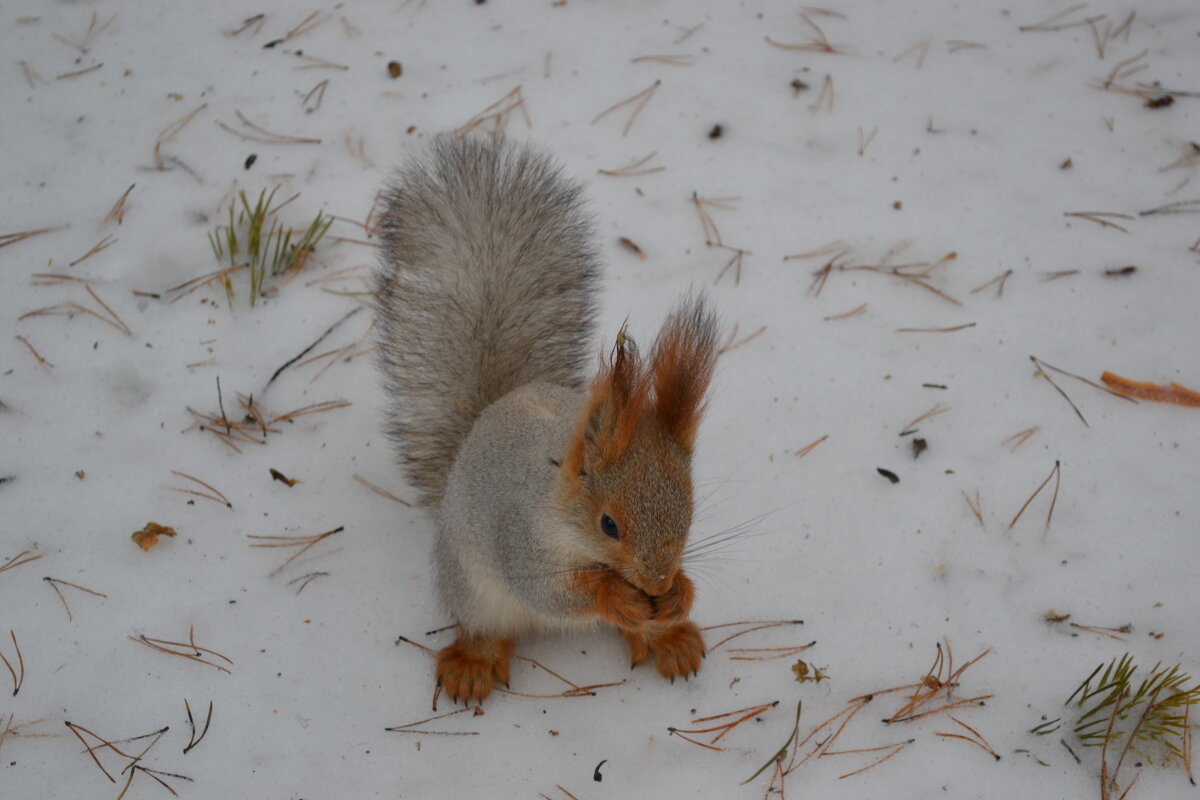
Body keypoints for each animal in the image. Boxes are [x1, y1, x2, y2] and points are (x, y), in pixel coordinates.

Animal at [374, 139, 715, 705]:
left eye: (689, 512)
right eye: (608, 524)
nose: (656, 583)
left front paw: (679, 595)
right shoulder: (520, 538)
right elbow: (551, 591)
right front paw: (615, 596)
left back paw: (669, 639)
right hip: (473, 590)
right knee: (487, 628)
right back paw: (474, 663)